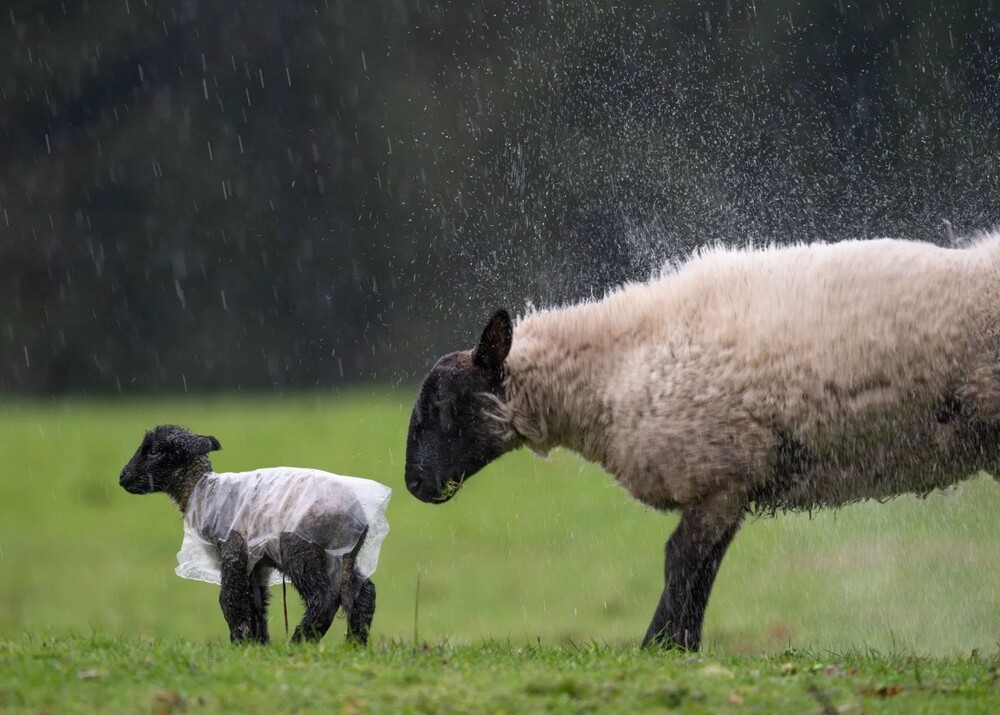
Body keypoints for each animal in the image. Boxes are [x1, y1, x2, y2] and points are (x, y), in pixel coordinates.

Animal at [118, 428, 390, 648]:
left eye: (155, 451)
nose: (122, 477)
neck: (202, 491)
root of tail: (358, 513)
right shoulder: (255, 563)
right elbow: (255, 603)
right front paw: (258, 645)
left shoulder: (233, 551)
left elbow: (231, 599)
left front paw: (239, 644)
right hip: (343, 554)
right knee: (362, 593)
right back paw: (355, 644)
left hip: (300, 549)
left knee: (324, 597)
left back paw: (299, 643)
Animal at [402, 236, 1000, 656]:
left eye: (442, 404)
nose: (414, 484)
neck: (611, 374)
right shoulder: (729, 483)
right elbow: (704, 566)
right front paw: (683, 646)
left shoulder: (716, 472)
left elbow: (681, 561)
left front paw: (659, 647)